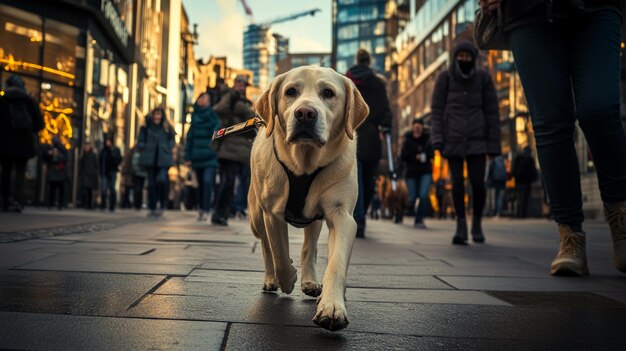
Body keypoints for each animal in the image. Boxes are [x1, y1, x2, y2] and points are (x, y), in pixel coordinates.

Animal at [247, 66, 368, 332]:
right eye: (291, 92)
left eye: (328, 93)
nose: (305, 113)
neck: (304, 164)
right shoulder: (272, 212)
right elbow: (279, 252)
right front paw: (287, 278)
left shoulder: (342, 214)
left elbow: (336, 263)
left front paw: (332, 306)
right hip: (256, 216)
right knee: (266, 248)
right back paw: (271, 279)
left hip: (314, 218)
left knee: (309, 247)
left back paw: (310, 281)